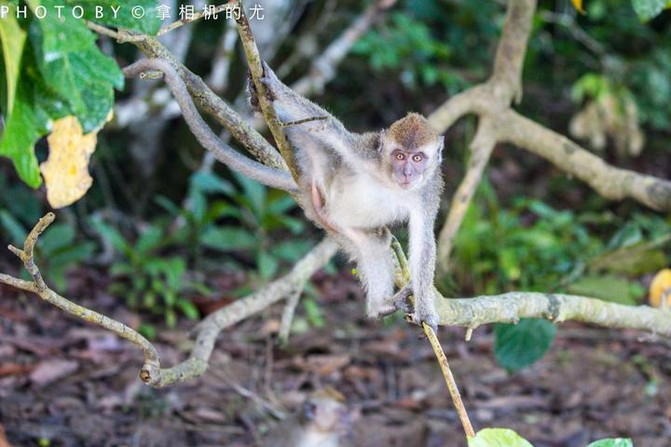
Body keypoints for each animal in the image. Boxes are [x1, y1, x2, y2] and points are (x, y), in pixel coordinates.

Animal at [249, 61, 444, 330]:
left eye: (417, 158)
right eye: (399, 156)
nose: (407, 173)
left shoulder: (428, 191)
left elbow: (423, 241)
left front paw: (425, 313)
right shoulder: (366, 153)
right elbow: (332, 130)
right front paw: (276, 88)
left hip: (340, 226)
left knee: (376, 243)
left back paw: (381, 307)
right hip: (323, 181)